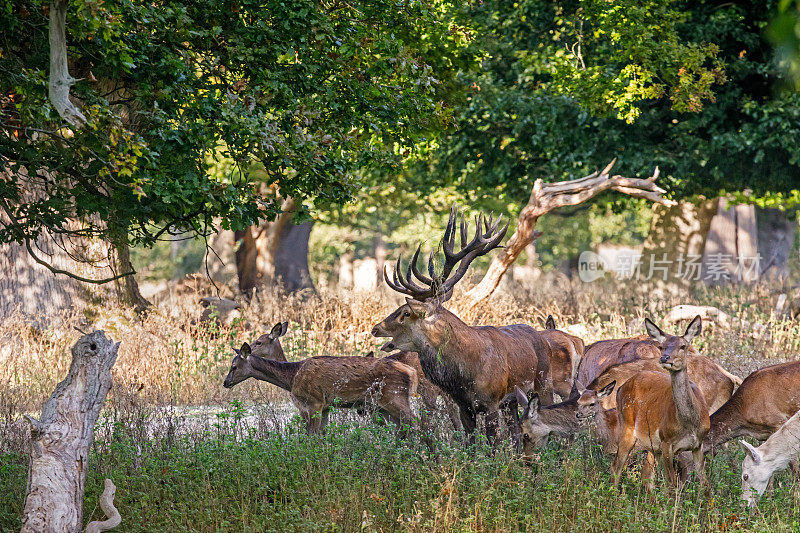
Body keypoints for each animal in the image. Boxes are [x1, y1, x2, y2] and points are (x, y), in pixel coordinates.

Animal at [222, 324, 416, 432]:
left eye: (234, 366)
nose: (225, 382)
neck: (291, 377)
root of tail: (411, 372)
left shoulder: (313, 402)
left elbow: (311, 436)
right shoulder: (325, 407)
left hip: (395, 396)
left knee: (416, 423)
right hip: (383, 406)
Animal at [612, 316, 712, 486]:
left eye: (683, 346)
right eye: (661, 346)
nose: (665, 358)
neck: (690, 424)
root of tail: (620, 388)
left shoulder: (698, 444)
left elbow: (705, 485)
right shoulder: (666, 442)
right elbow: (671, 484)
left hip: (653, 446)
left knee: (646, 473)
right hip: (627, 427)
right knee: (616, 467)